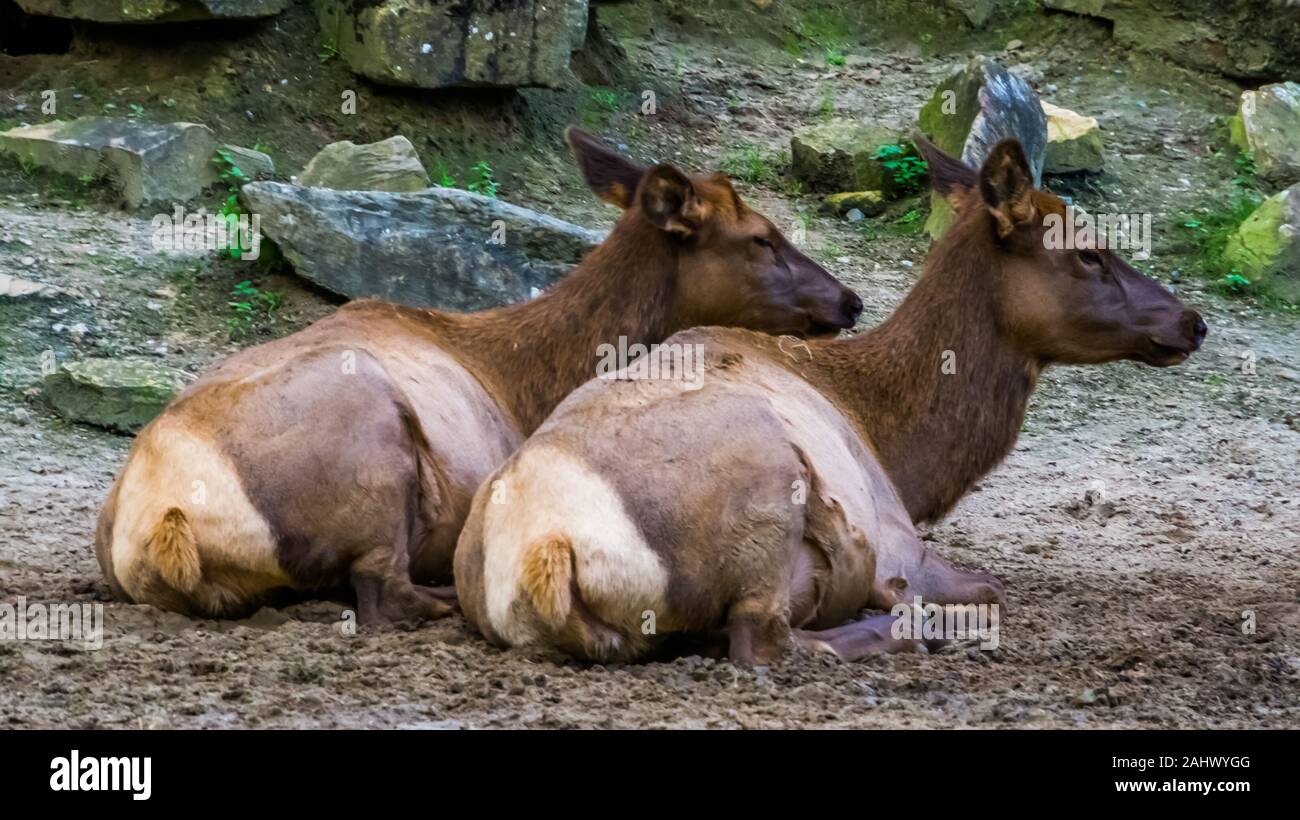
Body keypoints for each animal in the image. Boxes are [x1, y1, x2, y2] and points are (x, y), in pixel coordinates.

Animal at [457, 133, 1206, 660]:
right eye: (1088, 252)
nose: (1191, 321)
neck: (896, 447)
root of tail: (546, 551)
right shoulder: (903, 539)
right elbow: (991, 587)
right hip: (767, 493)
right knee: (764, 639)